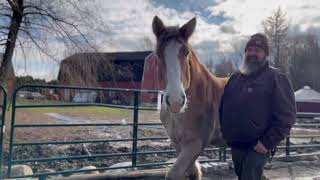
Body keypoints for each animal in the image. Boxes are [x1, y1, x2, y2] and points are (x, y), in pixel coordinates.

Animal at [151, 16, 229, 179]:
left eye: (186, 53)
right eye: (158, 54)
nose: (175, 101)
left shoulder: (196, 143)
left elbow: (174, 174)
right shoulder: (177, 143)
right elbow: (193, 171)